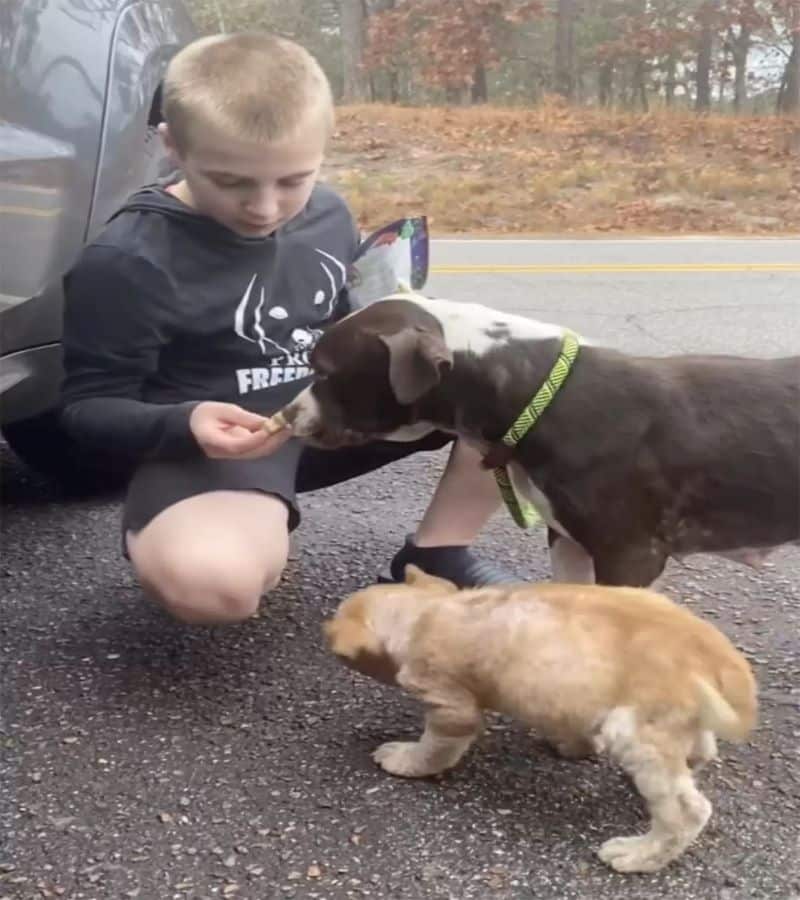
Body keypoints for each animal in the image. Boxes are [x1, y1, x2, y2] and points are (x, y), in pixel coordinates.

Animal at [324, 568, 756, 872]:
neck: (425, 612)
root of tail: (719, 660)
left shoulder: (451, 706)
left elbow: (434, 748)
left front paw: (404, 759)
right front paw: (573, 745)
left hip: (636, 732)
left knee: (687, 811)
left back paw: (636, 855)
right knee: (700, 753)